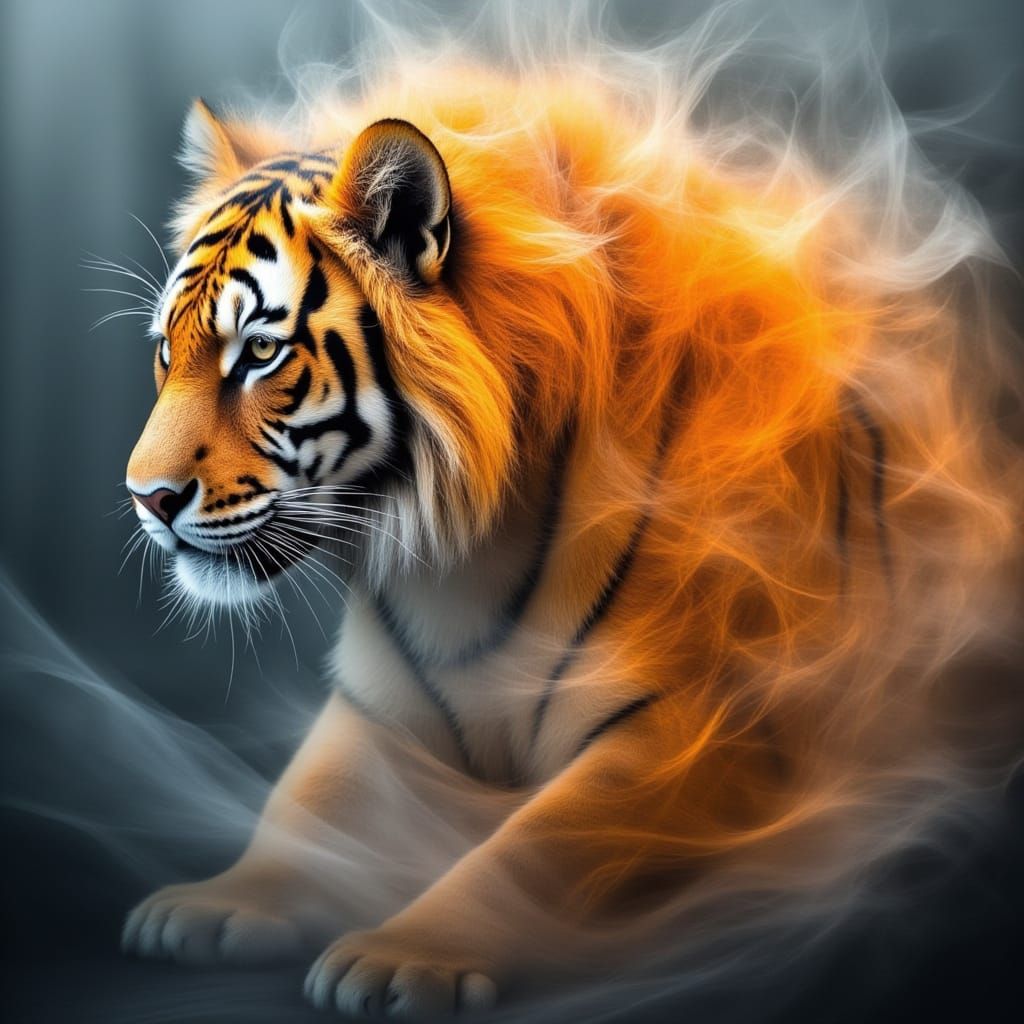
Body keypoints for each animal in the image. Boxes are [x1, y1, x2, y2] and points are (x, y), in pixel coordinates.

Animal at [119, 67, 1020, 1019]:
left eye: (258, 353)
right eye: (167, 350)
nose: (147, 498)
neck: (457, 566)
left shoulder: (690, 731)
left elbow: (532, 851)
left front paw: (405, 955)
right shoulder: (378, 709)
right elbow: (307, 801)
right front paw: (218, 899)